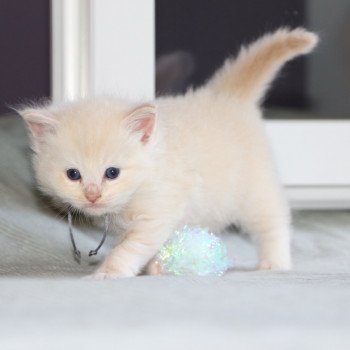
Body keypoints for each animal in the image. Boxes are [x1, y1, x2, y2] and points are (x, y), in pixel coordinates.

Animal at [20, 28, 318, 278]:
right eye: (73, 175)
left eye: (112, 173)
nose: (93, 196)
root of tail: (225, 96)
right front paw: (156, 267)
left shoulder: (157, 213)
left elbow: (129, 249)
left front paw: (108, 273)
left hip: (254, 189)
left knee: (274, 222)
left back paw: (275, 263)